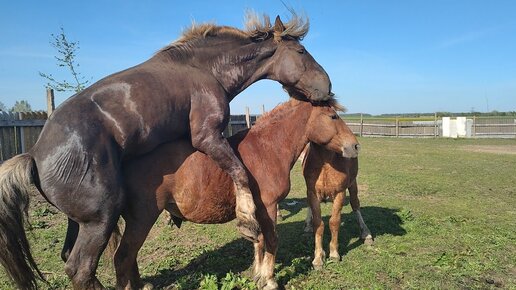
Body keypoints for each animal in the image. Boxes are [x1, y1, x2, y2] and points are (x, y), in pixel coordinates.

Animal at [0, 12, 334, 288]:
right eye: (301, 52)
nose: (327, 88)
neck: (206, 70)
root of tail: (34, 156)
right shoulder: (206, 137)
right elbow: (239, 172)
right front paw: (246, 219)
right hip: (100, 220)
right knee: (82, 268)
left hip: (80, 222)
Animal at [118, 97, 358, 288]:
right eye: (333, 116)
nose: (355, 146)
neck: (267, 148)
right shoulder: (269, 206)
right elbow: (271, 240)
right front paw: (269, 280)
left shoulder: (258, 211)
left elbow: (258, 242)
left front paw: (258, 274)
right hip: (142, 219)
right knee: (123, 258)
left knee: (130, 257)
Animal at [302, 142, 370, 270]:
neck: (325, 162)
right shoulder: (312, 193)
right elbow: (318, 223)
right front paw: (318, 257)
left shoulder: (340, 193)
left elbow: (334, 222)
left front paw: (334, 253)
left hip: (353, 183)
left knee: (355, 203)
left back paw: (366, 233)